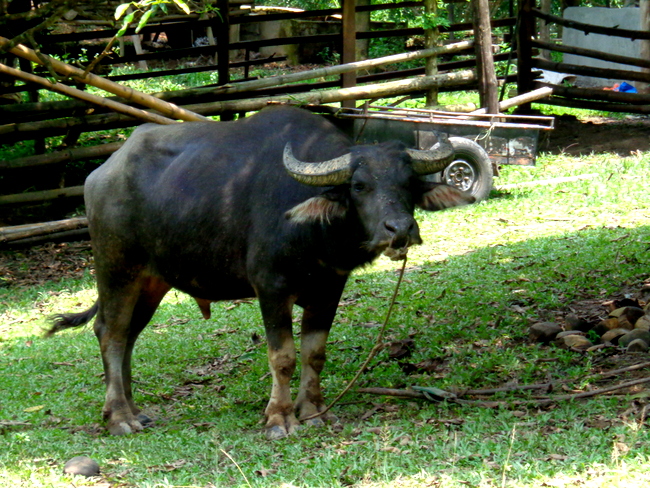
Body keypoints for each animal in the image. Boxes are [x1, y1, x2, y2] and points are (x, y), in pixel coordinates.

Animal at [46, 106, 470, 438]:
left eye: (408, 183)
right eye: (360, 186)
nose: (400, 229)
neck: (315, 231)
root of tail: (101, 174)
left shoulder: (329, 288)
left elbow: (315, 353)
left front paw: (313, 412)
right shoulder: (271, 287)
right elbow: (282, 356)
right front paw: (279, 419)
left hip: (153, 280)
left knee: (130, 335)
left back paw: (133, 410)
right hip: (117, 269)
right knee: (111, 333)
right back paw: (119, 418)